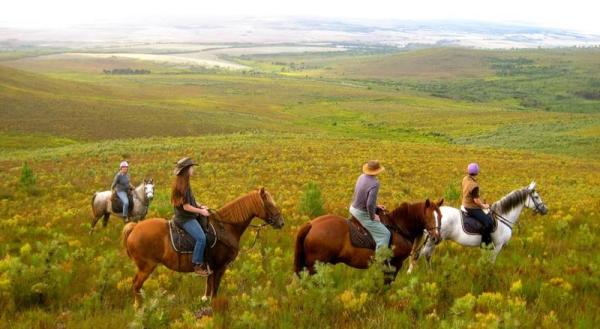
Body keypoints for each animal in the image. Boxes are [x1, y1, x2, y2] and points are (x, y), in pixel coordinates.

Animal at [121, 187, 284, 308]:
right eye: (269, 204)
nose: (281, 223)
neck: (225, 228)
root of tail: (134, 228)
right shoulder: (219, 267)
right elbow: (214, 291)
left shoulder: (210, 268)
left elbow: (208, 288)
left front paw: (204, 301)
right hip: (146, 267)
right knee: (136, 285)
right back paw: (139, 309)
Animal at [292, 197, 442, 282]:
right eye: (429, 217)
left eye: (440, 216)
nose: (436, 238)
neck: (399, 226)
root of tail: (311, 224)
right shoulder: (395, 263)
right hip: (316, 266)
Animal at [408, 181, 548, 270]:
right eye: (536, 196)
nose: (545, 210)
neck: (503, 217)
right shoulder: (497, 246)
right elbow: (491, 262)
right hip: (431, 240)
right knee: (418, 255)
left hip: (433, 241)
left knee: (426, 255)